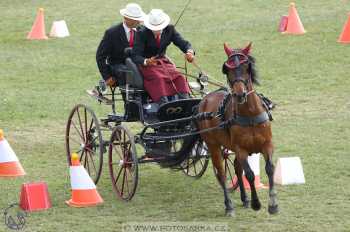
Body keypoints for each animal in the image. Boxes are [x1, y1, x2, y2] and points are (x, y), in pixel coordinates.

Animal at [197, 42, 278, 217]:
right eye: (227, 69)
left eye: (246, 66)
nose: (240, 94)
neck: (250, 114)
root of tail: (204, 99)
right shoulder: (241, 149)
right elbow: (250, 174)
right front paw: (256, 203)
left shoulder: (267, 145)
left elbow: (269, 169)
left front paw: (273, 204)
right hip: (213, 146)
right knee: (222, 173)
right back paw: (229, 206)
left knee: (236, 168)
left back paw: (244, 199)